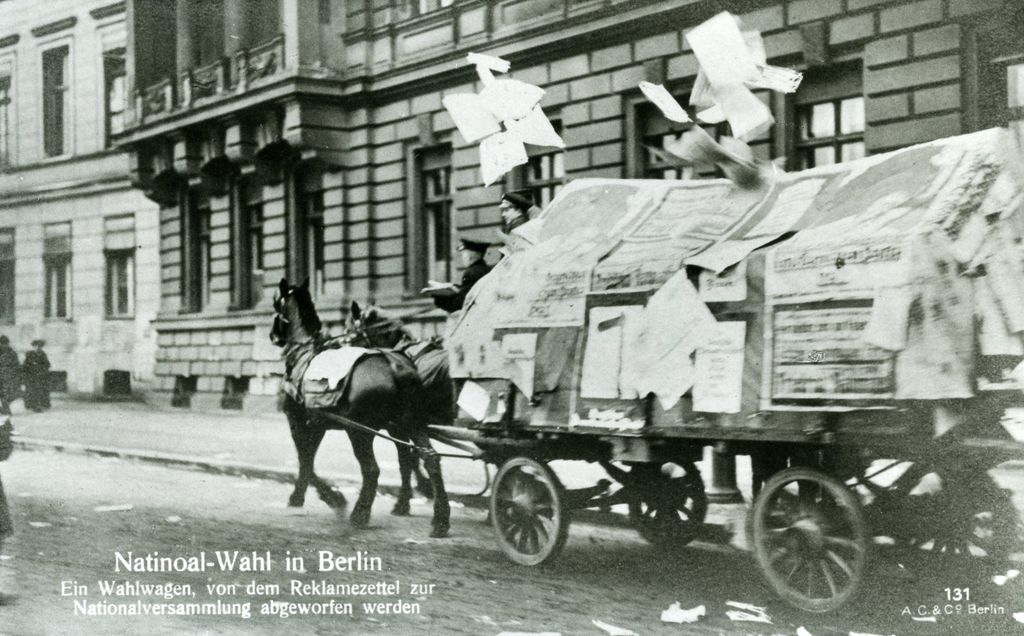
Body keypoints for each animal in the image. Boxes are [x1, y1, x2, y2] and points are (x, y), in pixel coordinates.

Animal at [270, 278, 450, 536]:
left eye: (277, 304)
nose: (272, 335)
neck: (304, 351)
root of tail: (393, 363)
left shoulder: (296, 421)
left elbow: (305, 460)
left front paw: (330, 497)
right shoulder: (317, 424)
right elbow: (308, 459)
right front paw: (301, 495)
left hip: (360, 431)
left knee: (372, 469)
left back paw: (360, 513)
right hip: (408, 423)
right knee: (431, 459)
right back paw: (440, 519)